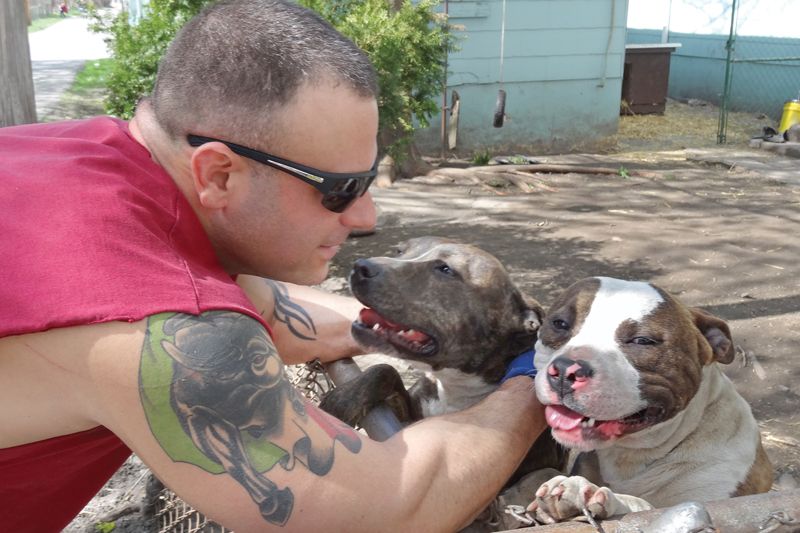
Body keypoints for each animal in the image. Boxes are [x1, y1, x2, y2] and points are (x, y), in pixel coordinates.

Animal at [320, 237, 568, 490]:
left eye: (445, 270)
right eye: (399, 251)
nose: (360, 266)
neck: (453, 386)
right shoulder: (407, 416)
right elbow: (386, 370)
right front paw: (344, 398)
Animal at [528, 276, 772, 520]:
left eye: (642, 340)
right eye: (560, 324)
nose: (565, 370)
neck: (634, 456)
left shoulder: (713, 500)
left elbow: (646, 506)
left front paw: (588, 493)